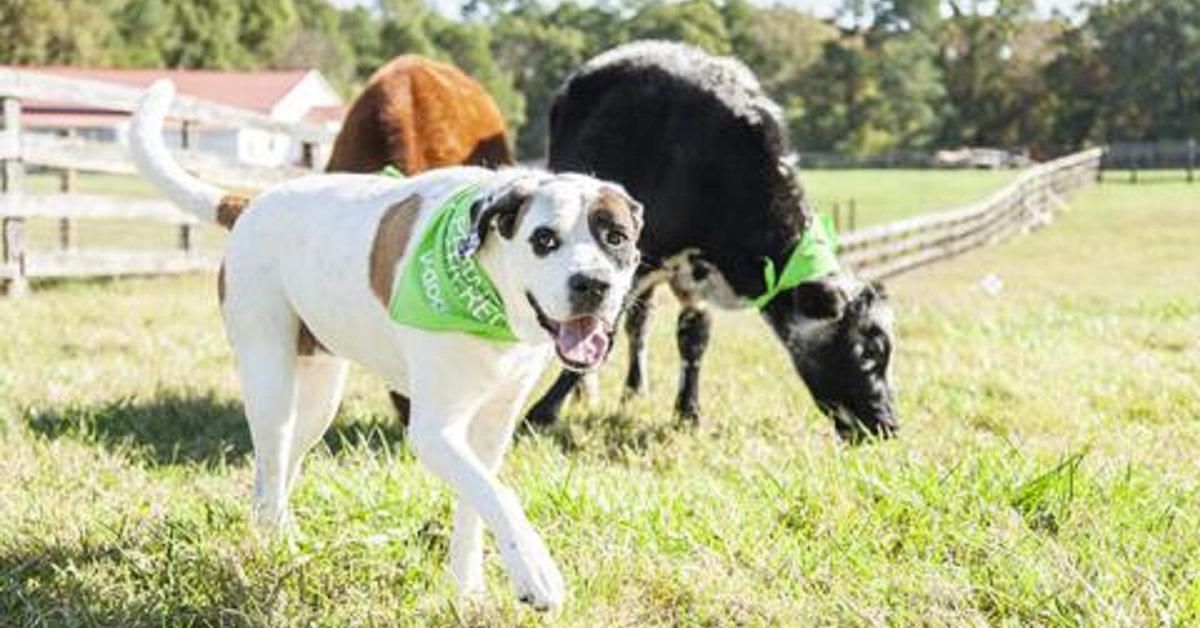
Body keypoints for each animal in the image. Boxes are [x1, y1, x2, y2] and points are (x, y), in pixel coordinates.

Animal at [126, 81, 643, 612]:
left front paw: (468, 589)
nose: (592, 285)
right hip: (271, 378)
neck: (492, 300)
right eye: (544, 239)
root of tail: (250, 203)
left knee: (278, 469)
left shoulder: (492, 428)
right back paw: (273, 555)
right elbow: (499, 495)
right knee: (271, 460)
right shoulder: (434, 430)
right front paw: (536, 574)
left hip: (317, 397)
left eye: (616, 238)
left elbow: (478, 499)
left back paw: (281, 541)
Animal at [525, 40, 902, 441]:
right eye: (866, 352)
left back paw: (634, 390)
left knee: (639, 324)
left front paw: (688, 413)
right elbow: (600, 334)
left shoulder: (695, 274)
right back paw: (588, 393)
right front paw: (541, 414)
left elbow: (693, 338)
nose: (889, 424)